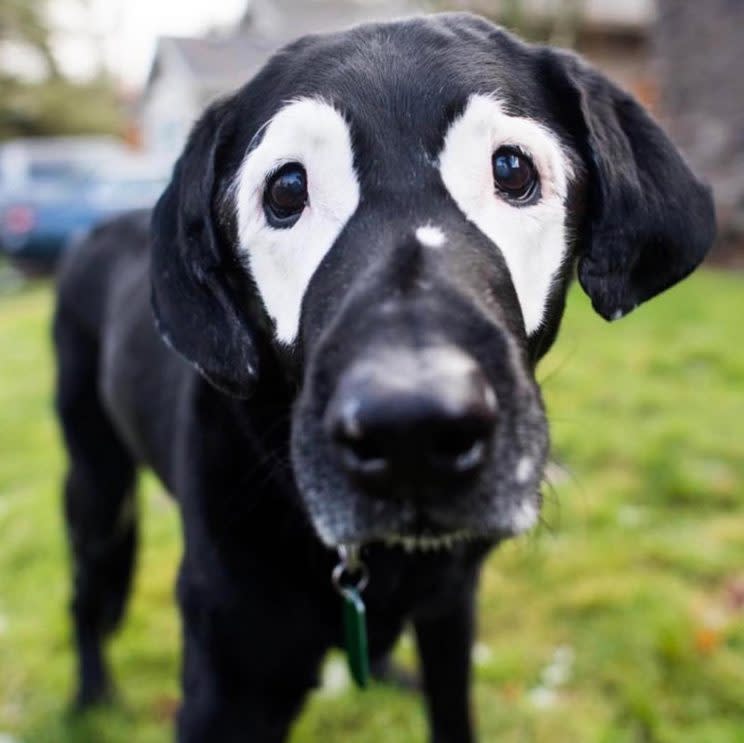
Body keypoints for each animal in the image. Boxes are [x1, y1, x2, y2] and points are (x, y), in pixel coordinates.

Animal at [52, 13, 716, 743]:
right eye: (286, 190)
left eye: (511, 168)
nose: (411, 431)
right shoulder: (227, 677)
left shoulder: (451, 612)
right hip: (97, 485)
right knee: (83, 597)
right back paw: (89, 694)